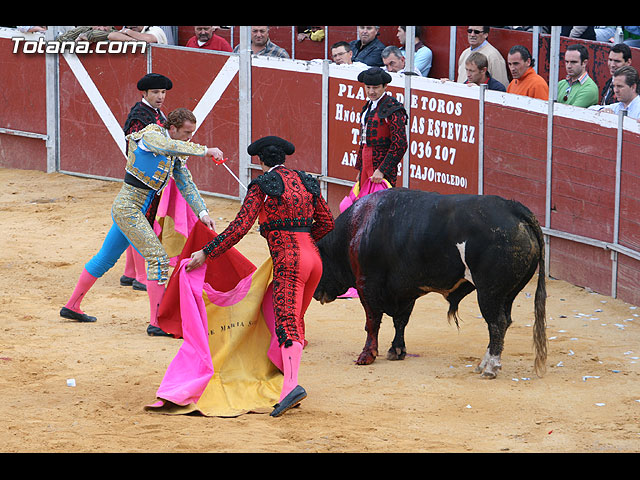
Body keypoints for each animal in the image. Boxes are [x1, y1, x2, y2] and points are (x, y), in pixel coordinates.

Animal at [312, 188, 548, 378]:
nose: (316, 293)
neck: (358, 227)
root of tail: (513, 208)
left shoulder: (366, 286)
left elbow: (372, 322)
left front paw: (366, 356)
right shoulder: (404, 290)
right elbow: (400, 321)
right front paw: (397, 350)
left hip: (489, 292)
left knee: (496, 323)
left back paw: (489, 368)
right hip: (508, 294)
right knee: (504, 322)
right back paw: (485, 365)